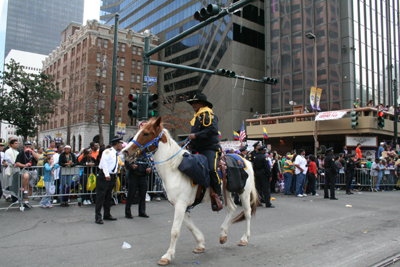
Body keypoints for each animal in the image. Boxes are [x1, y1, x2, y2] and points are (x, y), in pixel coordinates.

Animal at [122, 118, 260, 266]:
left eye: (146, 133)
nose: (125, 152)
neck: (174, 169)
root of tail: (245, 160)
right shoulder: (181, 205)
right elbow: (189, 225)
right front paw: (200, 244)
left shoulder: (181, 204)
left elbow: (175, 230)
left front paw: (168, 256)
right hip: (227, 192)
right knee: (232, 208)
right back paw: (223, 235)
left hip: (243, 192)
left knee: (247, 213)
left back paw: (244, 238)